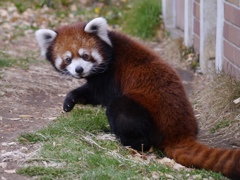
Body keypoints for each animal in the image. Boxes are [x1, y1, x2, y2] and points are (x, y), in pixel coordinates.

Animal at [35, 16, 240, 179]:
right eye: (68, 59)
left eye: (85, 55)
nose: (79, 69)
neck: (111, 48)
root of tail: (179, 132)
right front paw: (69, 101)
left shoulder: (110, 76)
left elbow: (96, 94)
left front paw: (72, 97)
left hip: (141, 112)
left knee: (122, 113)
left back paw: (124, 141)